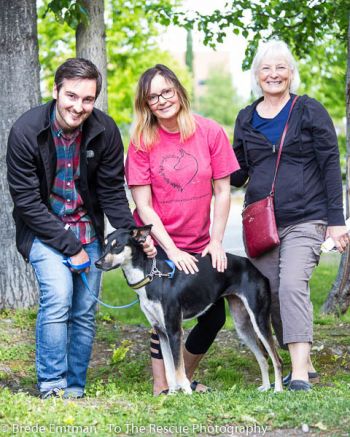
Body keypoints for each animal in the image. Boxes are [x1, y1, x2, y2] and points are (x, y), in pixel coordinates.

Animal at [95, 225, 282, 392]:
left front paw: (185, 391)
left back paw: (278, 390)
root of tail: (254, 268)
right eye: (105, 245)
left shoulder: (174, 330)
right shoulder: (161, 331)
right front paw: (171, 395)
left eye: (117, 246)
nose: (97, 263)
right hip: (242, 325)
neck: (152, 277)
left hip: (259, 320)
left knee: (276, 359)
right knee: (263, 357)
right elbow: (169, 370)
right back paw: (266, 387)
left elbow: (178, 369)